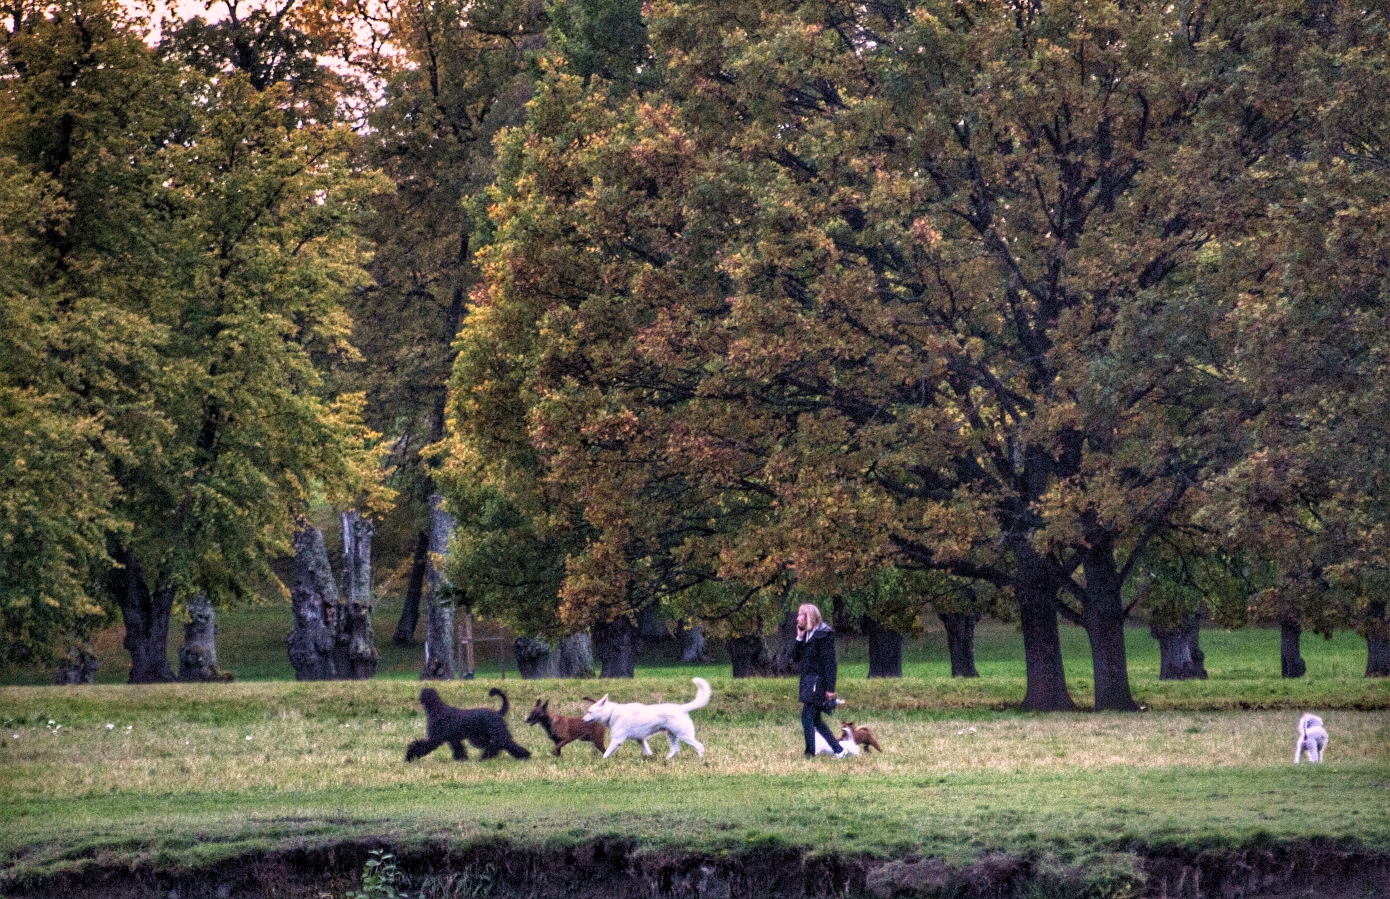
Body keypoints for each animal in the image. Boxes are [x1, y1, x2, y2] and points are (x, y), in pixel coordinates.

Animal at [586, 675, 717, 761]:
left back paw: (700, 759)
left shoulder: (617, 740)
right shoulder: (641, 739)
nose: (583, 720)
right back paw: (666, 760)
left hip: (684, 735)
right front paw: (648, 757)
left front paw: (601, 761)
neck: (612, 713)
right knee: (675, 750)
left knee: (699, 746)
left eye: (589, 712)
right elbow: (646, 750)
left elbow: (606, 753)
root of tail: (681, 708)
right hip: (672, 735)